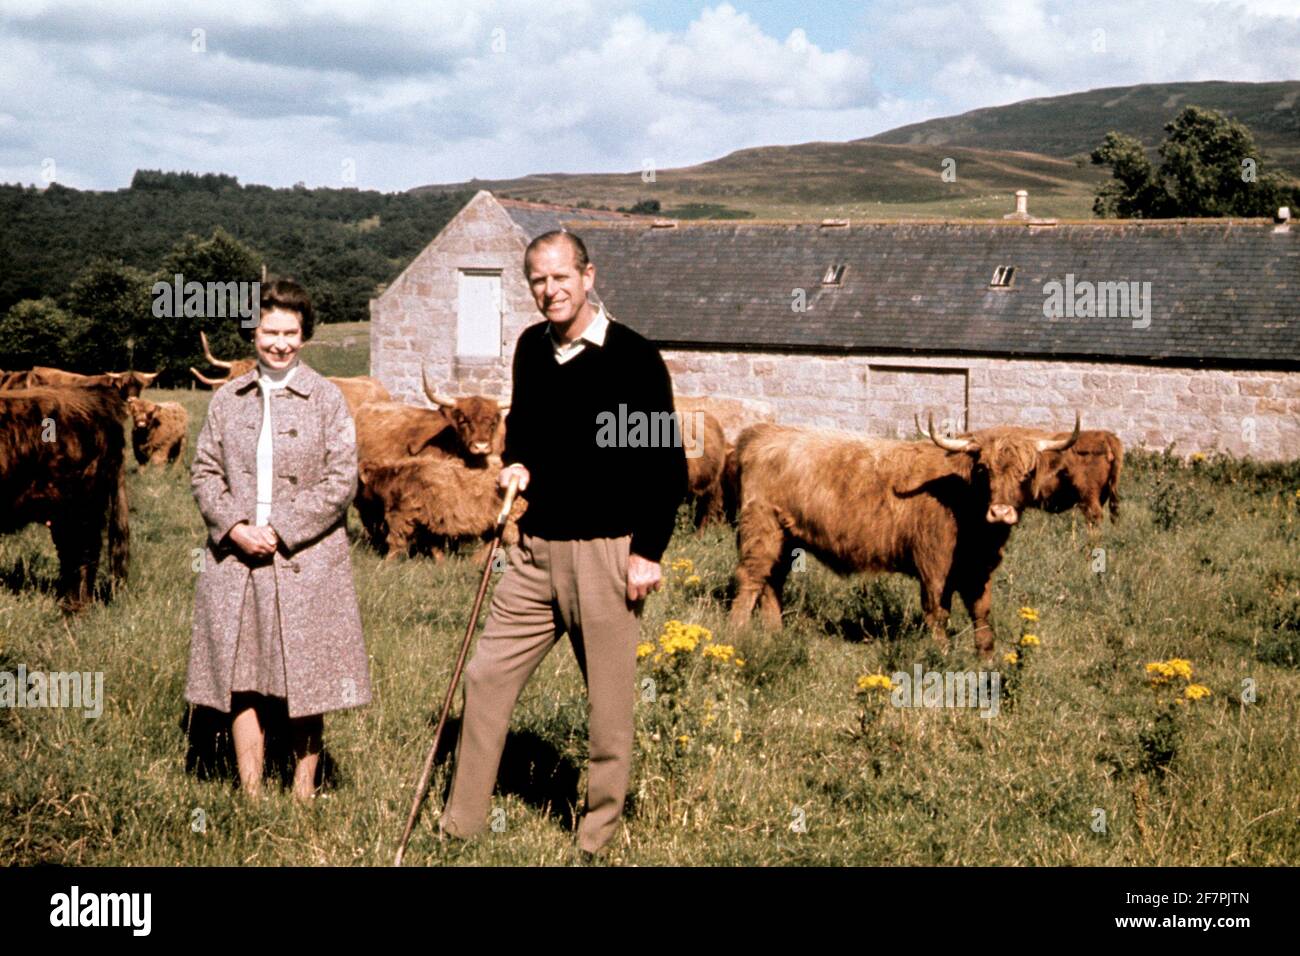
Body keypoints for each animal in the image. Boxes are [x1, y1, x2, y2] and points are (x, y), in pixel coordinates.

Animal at [356, 455, 522, 561]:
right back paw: (475, 562)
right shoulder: (428, 522)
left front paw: (386, 564)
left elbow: (395, 541)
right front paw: (441, 563)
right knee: (491, 543)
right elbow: (434, 546)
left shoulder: (401, 515)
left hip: (509, 522)